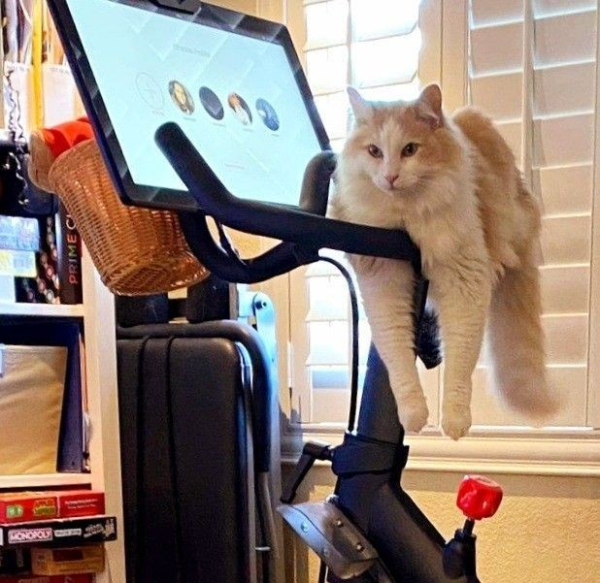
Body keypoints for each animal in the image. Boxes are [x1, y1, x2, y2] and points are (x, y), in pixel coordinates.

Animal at [328, 85, 556, 438]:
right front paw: (412, 416)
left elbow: (460, 362)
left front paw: (455, 421)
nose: (390, 177)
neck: (406, 218)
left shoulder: (464, 279)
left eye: (410, 149)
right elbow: (397, 355)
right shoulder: (382, 283)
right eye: (374, 151)